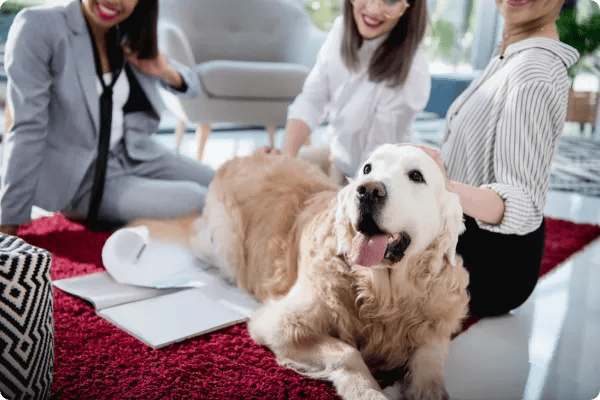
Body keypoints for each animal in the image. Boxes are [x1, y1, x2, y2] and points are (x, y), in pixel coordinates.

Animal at [139, 144, 468, 400]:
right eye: (367, 169)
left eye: (416, 176)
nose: (367, 191)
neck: (383, 294)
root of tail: (243, 156)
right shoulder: (280, 322)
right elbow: (346, 352)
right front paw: (367, 390)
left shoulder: (438, 314)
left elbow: (430, 353)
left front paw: (428, 389)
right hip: (224, 243)